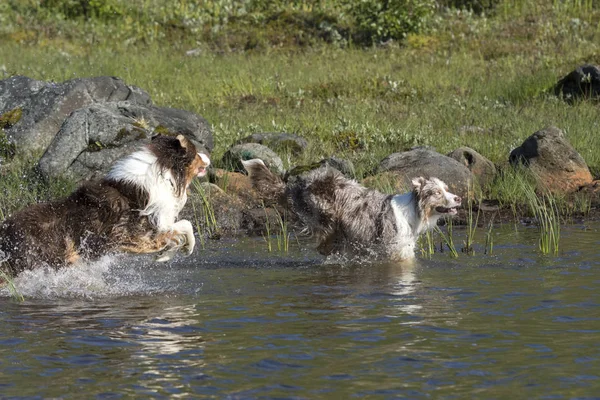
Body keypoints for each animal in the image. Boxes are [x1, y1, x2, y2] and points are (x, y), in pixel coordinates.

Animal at [0, 135, 211, 278]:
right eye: (195, 153)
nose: (208, 157)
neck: (165, 172)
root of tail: (5, 230)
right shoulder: (142, 233)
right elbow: (186, 226)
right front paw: (185, 249)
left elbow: (177, 234)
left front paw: (165, 255)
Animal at [241, 159, 462, 262]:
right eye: (437, 193)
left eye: (447, 189)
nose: (459, 198)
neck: (414, 211)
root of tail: (297, 184)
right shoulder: (395, 248)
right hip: (325, 213)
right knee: (324, 243)